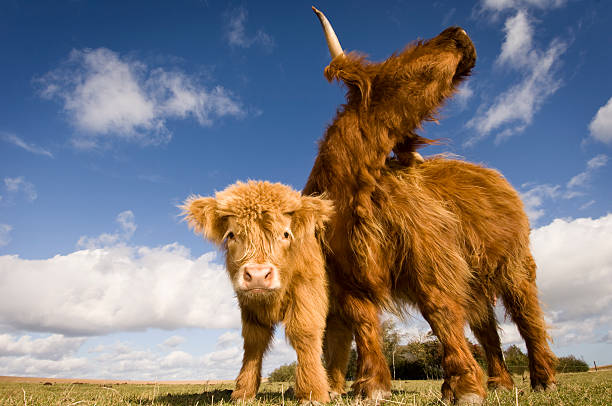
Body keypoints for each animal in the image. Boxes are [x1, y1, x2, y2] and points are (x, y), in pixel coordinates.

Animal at [183, 181, 332, 402]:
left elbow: (304, 332)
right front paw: (243, 391)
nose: (258, 275)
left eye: (285, 234)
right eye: (231, 235)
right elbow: (254, 340)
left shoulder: (307, 291)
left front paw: (313, 392)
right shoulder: (248, 304)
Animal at [308, 7, 556, 404]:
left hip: (516, 262)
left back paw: (543, 378)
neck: (354, 191)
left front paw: (465, 386)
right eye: (396, 65)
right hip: (476, 277)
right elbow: (364, 322)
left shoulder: (428, 255)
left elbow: (439, 309)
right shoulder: (347, 274)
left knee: (526, 314)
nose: (458, 33)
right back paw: (500, 382)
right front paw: (371, 385)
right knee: (486, 325)